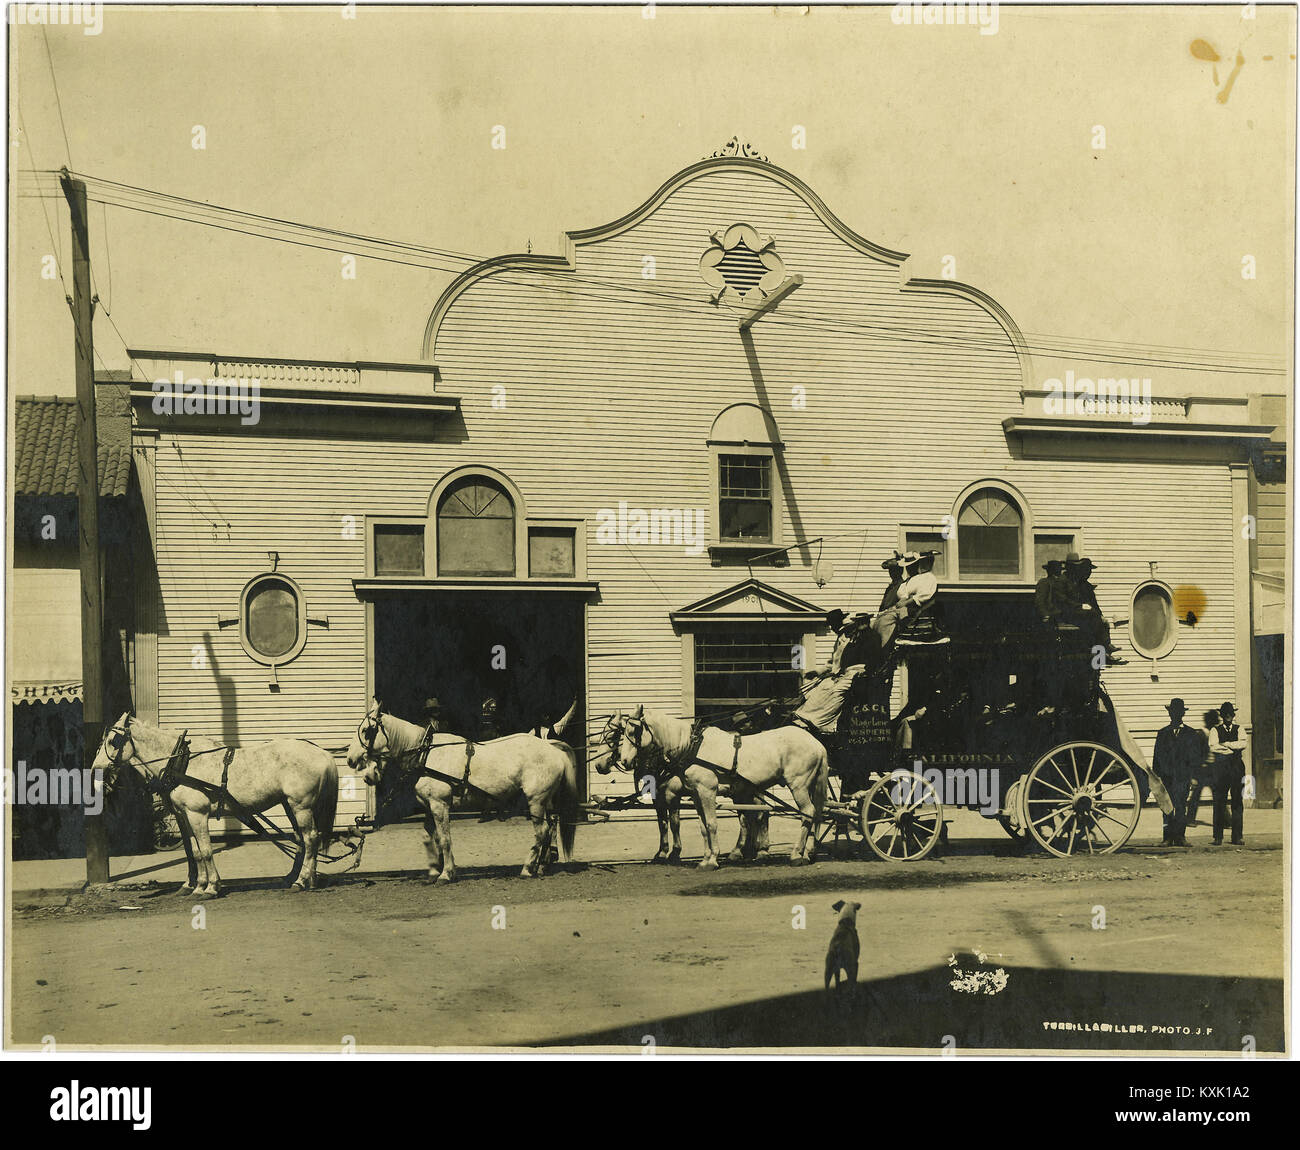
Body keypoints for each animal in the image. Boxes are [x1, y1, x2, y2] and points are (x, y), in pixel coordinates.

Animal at [94, 706, 343, 899]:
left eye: (112, 741)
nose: (96, 769)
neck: (182, 763)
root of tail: (323, 753)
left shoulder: (197, 813)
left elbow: (205, 850)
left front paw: (211, 887)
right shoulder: (184, 814)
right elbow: (194, 851)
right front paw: (197, 886)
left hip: (301, 805)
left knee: (310, 838)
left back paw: (301, 880)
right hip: (290, 805)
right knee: (302, 839)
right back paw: (303, 878)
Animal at [351, 701, 585, 878]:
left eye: (367, 730)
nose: (351, 760)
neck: (426, 754)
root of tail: (551, 747)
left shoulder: (440, 804)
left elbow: (444, 838)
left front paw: (446, 873)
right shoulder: (429, 806)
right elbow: (430, 837)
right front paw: (434, 868)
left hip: (536, 800)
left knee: (541, 831)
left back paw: (528, 868)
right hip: (545, 801)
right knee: (550, 829)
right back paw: (542, 865)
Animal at [595, 701, 826, 868]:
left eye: (632, 732)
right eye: (621, 733)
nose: (625, 761)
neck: (690, 747)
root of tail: (817, 744)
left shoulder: (703, 792)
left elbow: (707, 823)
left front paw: (711, 859)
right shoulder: (695, 794)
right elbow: (702, 826)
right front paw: (705, 859)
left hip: (798, 785)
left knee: (806, 813)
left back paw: (795, 854)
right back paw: (801, 852)